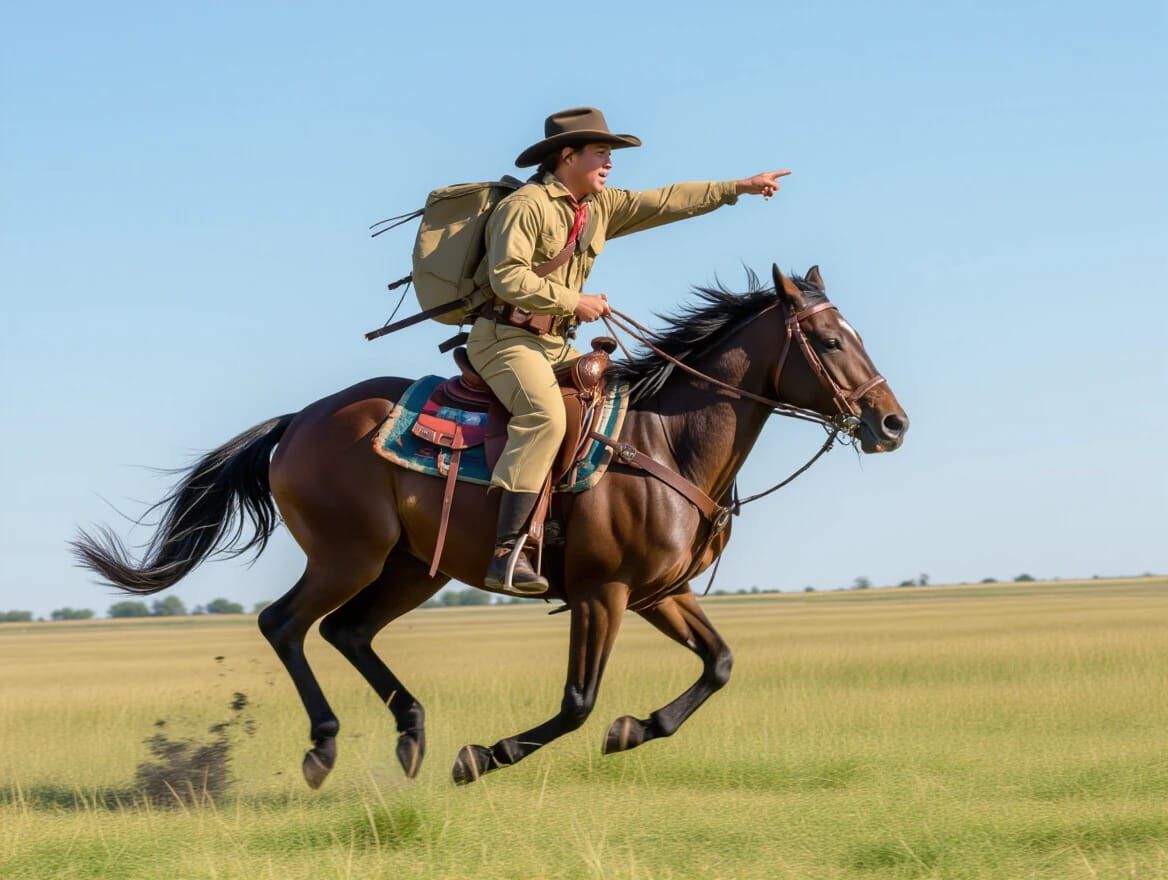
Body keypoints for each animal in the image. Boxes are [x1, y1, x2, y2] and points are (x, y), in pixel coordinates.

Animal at [74, 264, 908, 789]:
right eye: (830, 341)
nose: (891, 422)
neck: (664, 442)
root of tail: (299, 422)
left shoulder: (658, 594)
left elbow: (720, 665)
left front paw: (635, 729)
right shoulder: (602, 594)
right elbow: (577, 703)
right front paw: (485, 755)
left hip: (415, 567)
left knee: (348, 631)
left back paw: (411, 732)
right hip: (350, 556)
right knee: (286, 624)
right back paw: (326, 748)